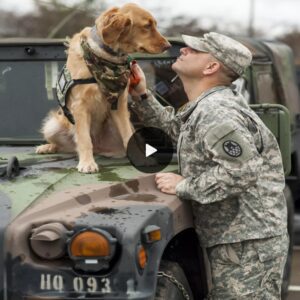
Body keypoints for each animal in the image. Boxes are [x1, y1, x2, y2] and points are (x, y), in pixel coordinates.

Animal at [35, 2, 169, 173]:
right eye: (147, 26)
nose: (168, 45)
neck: (105, 59)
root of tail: (99, 148)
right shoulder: (80, 106)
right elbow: (84, 139)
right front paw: (87, 163)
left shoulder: (119, 105)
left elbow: (128, 136)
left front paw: (140, 159)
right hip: (52, 125)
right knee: (66, 145)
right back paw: (47, 147)